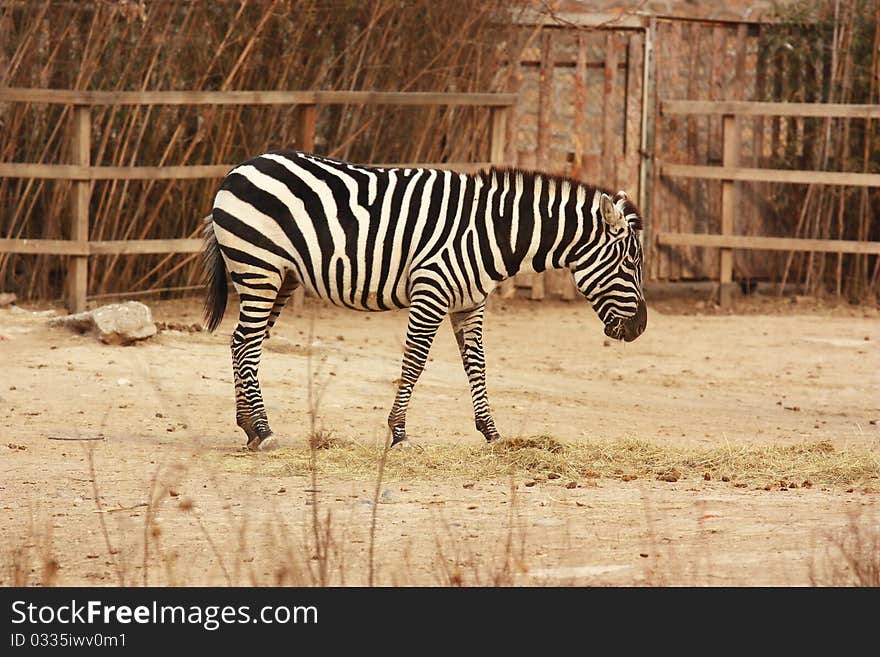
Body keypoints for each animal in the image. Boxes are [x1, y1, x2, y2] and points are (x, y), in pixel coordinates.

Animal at [205, 150, 648, 452]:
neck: (493, 231)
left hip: (281, 278)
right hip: (259, 269)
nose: (641, 328)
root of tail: (242, 167)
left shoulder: (470, 303)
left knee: (242, 343)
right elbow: (415, 363)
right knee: (246, 344)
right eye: (630, 262)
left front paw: (492, 434)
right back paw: (263, 431)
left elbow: (477, 365)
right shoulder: (430, 292)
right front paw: (399, 434)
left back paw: (249, 427)